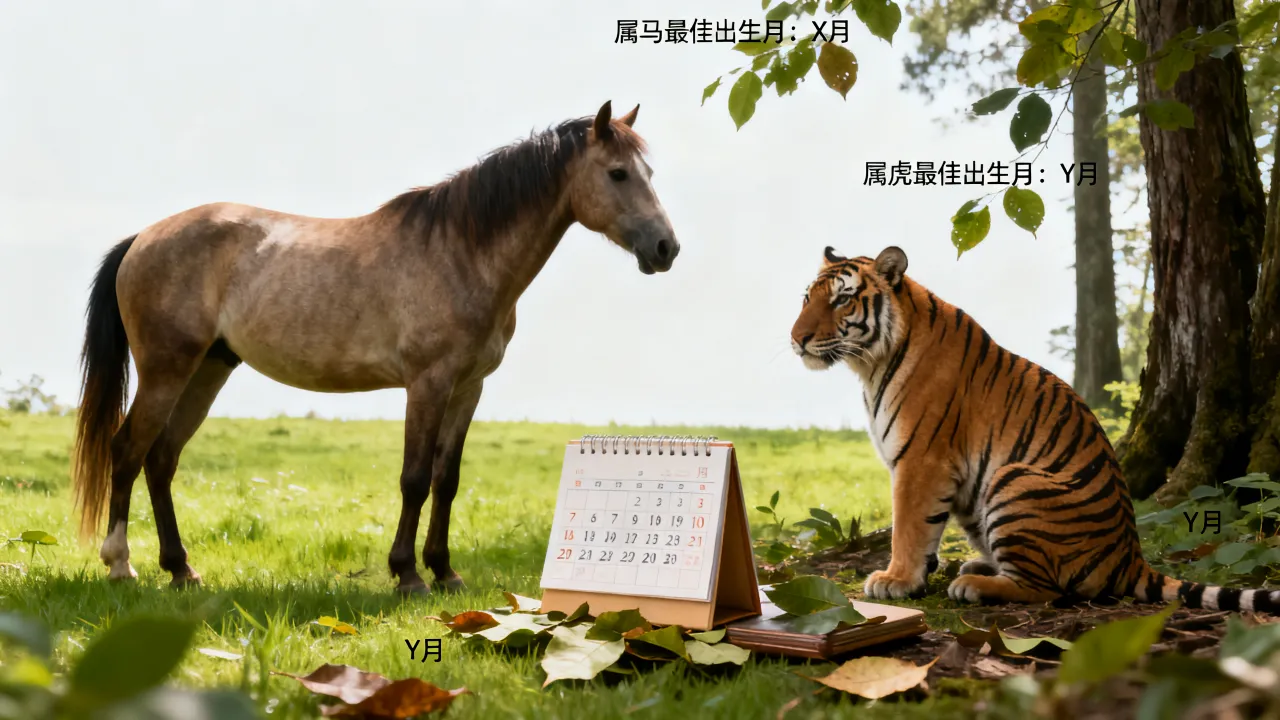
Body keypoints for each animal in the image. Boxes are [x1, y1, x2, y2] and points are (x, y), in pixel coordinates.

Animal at [71, 101, 679, 595]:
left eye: (649, 172)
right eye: (617, 173)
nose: (665, 247)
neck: (461, 252)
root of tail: (142, 239)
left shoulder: (468, 387)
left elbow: (446, 480)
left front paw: (446, 571)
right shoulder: (427, 383)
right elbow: (414, 478)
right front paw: (408, 575)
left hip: (207, 370)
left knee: (162, 458)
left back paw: (181, 569)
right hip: (166, 370)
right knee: (127, 451)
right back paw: (121, 564)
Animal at [789, 244, 1279, 612]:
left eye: (841, 299)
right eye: (807, 298)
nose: (797, 339)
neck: (870, 365)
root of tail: (1131, 559)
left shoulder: (920, 459)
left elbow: (908, 527)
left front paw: (896, 580)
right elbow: (923, 530)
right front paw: (915, 575)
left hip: (1015, 481)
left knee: (1046, 589)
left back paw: (975, 585)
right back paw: (977, 567)